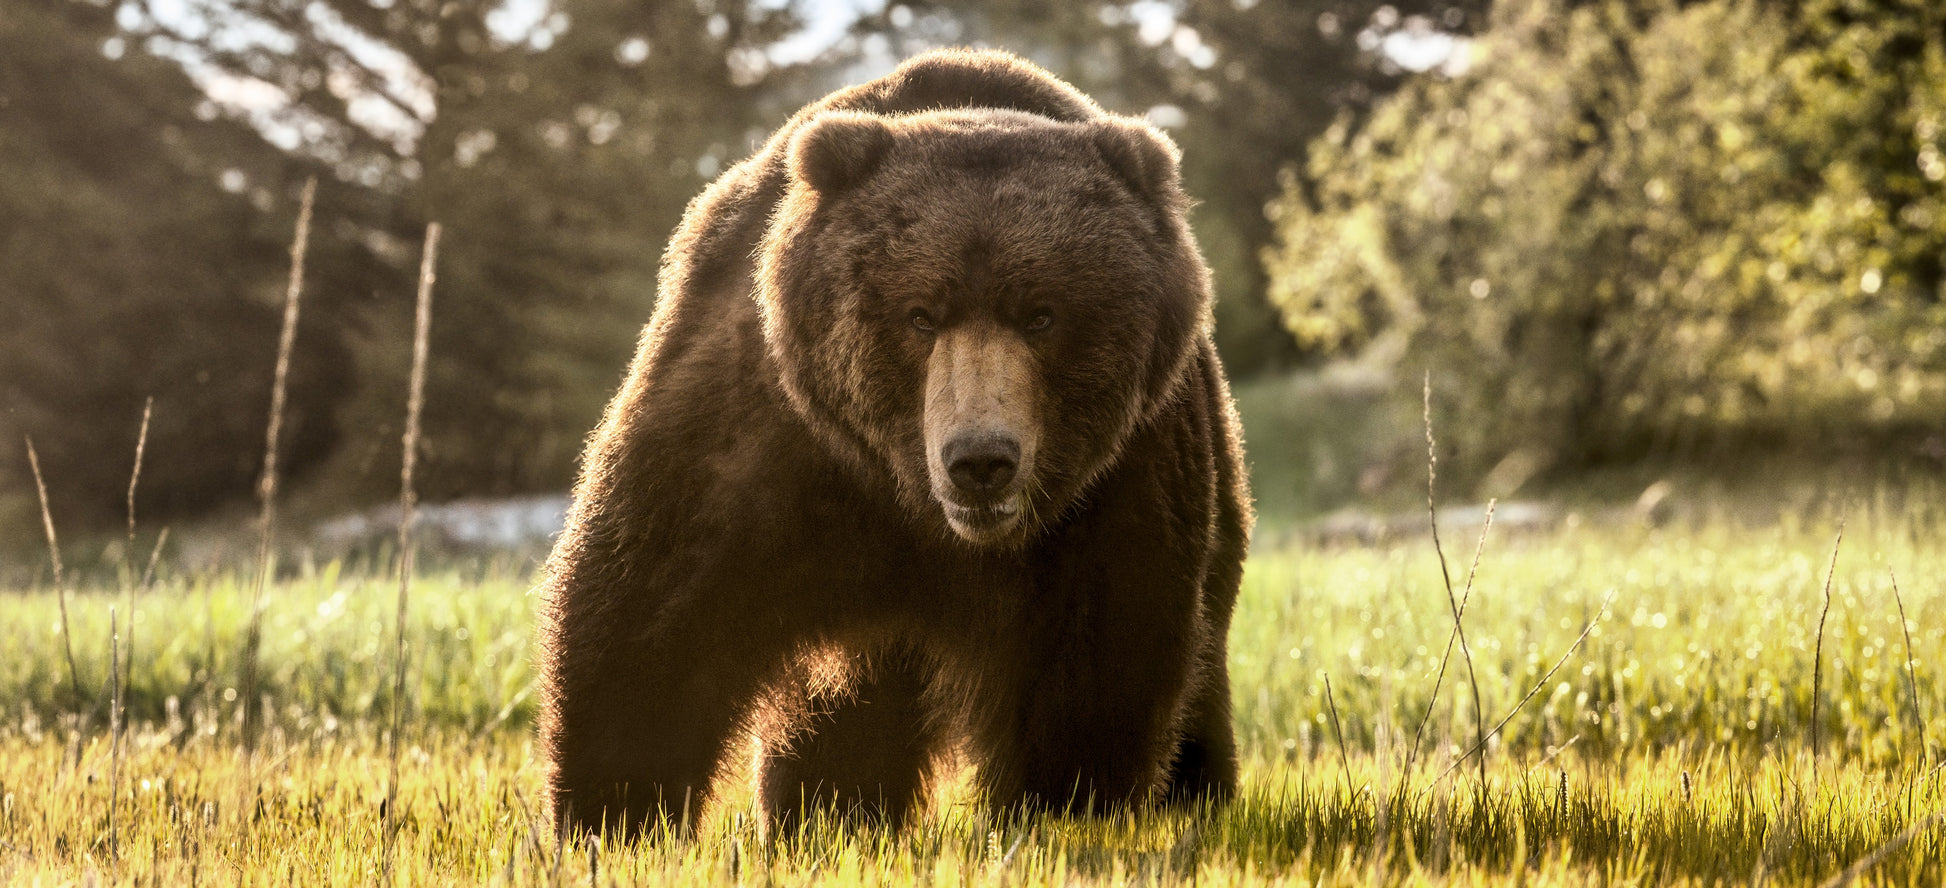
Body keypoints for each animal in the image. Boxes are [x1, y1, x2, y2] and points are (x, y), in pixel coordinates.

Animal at [536, 48, 1252, 840]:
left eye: (1042, 314)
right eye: (920, 314)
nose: (980, 462)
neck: (914, 504)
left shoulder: (1116, 483)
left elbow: (1095, 668)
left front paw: (1061, 817)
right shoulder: (765, 435)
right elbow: (650, 612)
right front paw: (612, 818)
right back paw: (829, 814)